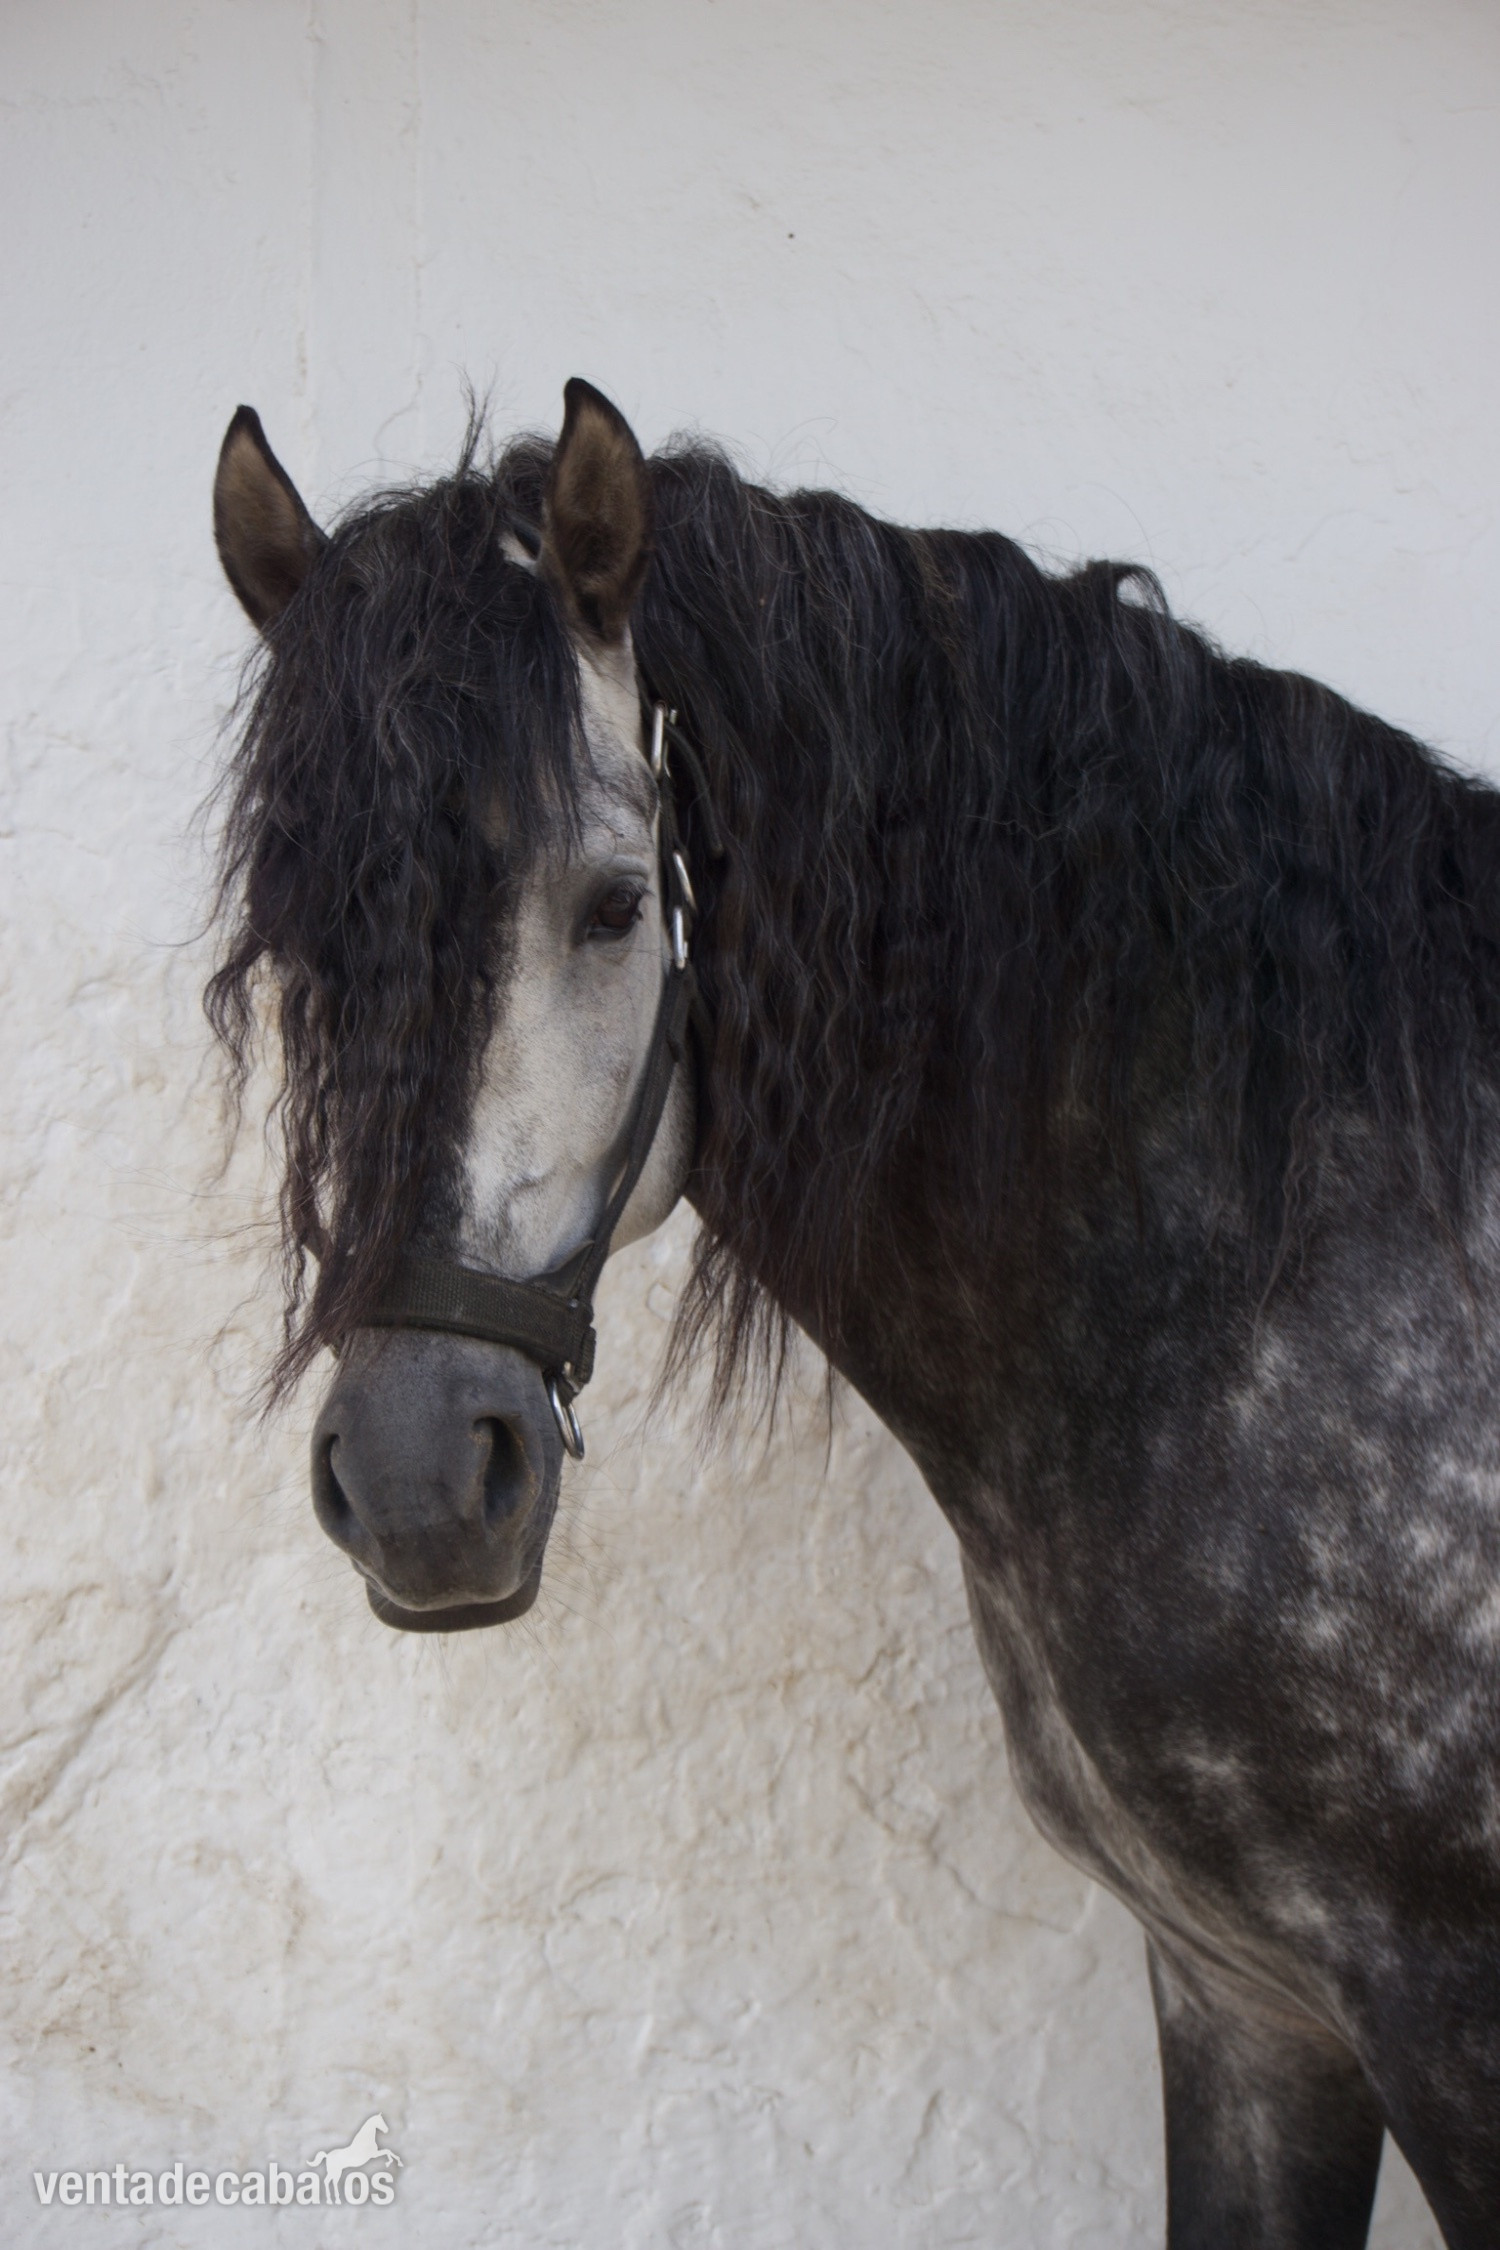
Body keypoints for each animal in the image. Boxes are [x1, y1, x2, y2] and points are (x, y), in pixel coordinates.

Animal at [207, 379, 1500, 2247]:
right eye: (301, 943)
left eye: (615, 904)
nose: (418, 1486)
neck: (1276, 1261)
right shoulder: (1246, 1999)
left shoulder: (1446, 2012)